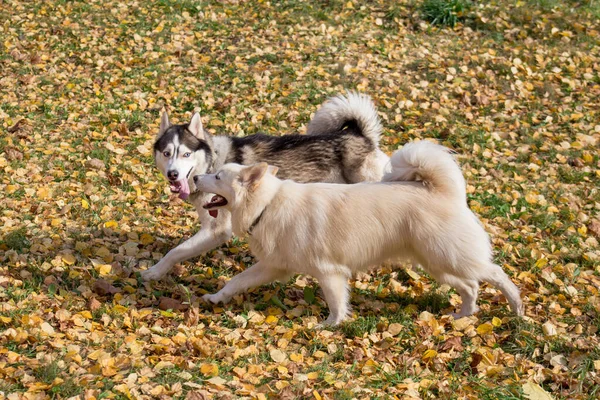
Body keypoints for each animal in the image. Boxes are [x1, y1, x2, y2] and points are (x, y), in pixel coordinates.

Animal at [195, 141, 524, 324]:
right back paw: (463, 315)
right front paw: (216, 298)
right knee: (470, 287)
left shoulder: (329, 272)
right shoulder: (273, 266)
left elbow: (336, 302)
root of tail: (444, 191)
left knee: (495, 274)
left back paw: (517, 308)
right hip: (437, 263)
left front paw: (330, 325)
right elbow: (236, 282)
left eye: (218, 176)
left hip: (447, 257)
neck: (267, 204)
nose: (196, 177)